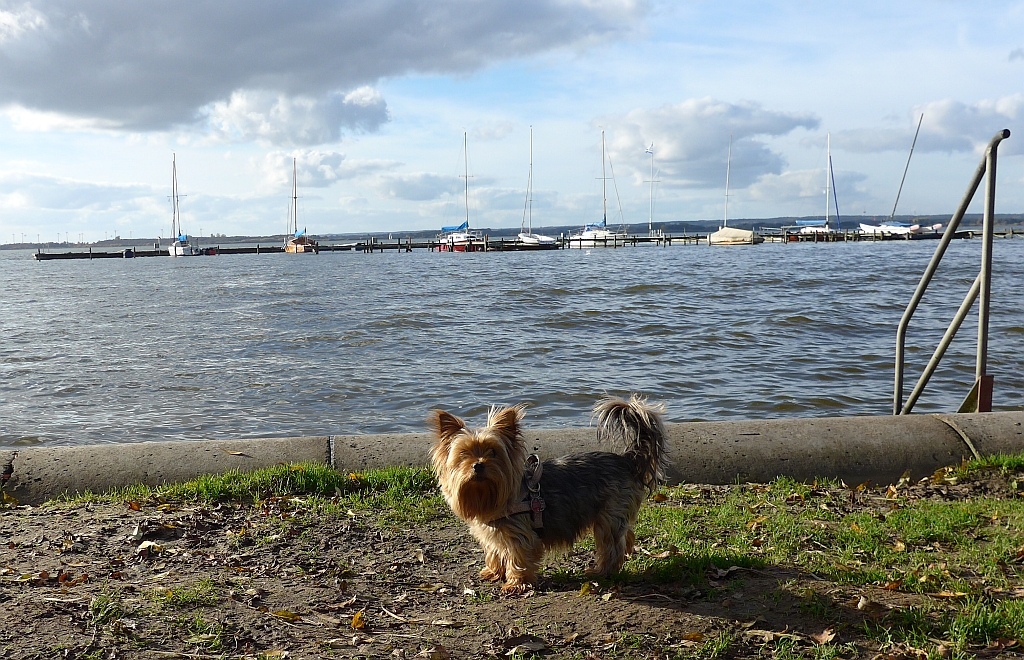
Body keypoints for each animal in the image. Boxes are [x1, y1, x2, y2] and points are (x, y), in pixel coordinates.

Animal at [428, 392, 667, 593]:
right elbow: (495, 551)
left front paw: (515, 583)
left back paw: (601, 571)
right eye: (464, 454)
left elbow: (518, 557)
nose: (478, 465)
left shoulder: (520, 534)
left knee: (610, 545)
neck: (488, 495)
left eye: (493, 452)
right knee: (625, 535)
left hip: (609, 514)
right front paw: (493, 571)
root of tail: (627, 460)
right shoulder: (493, 534)